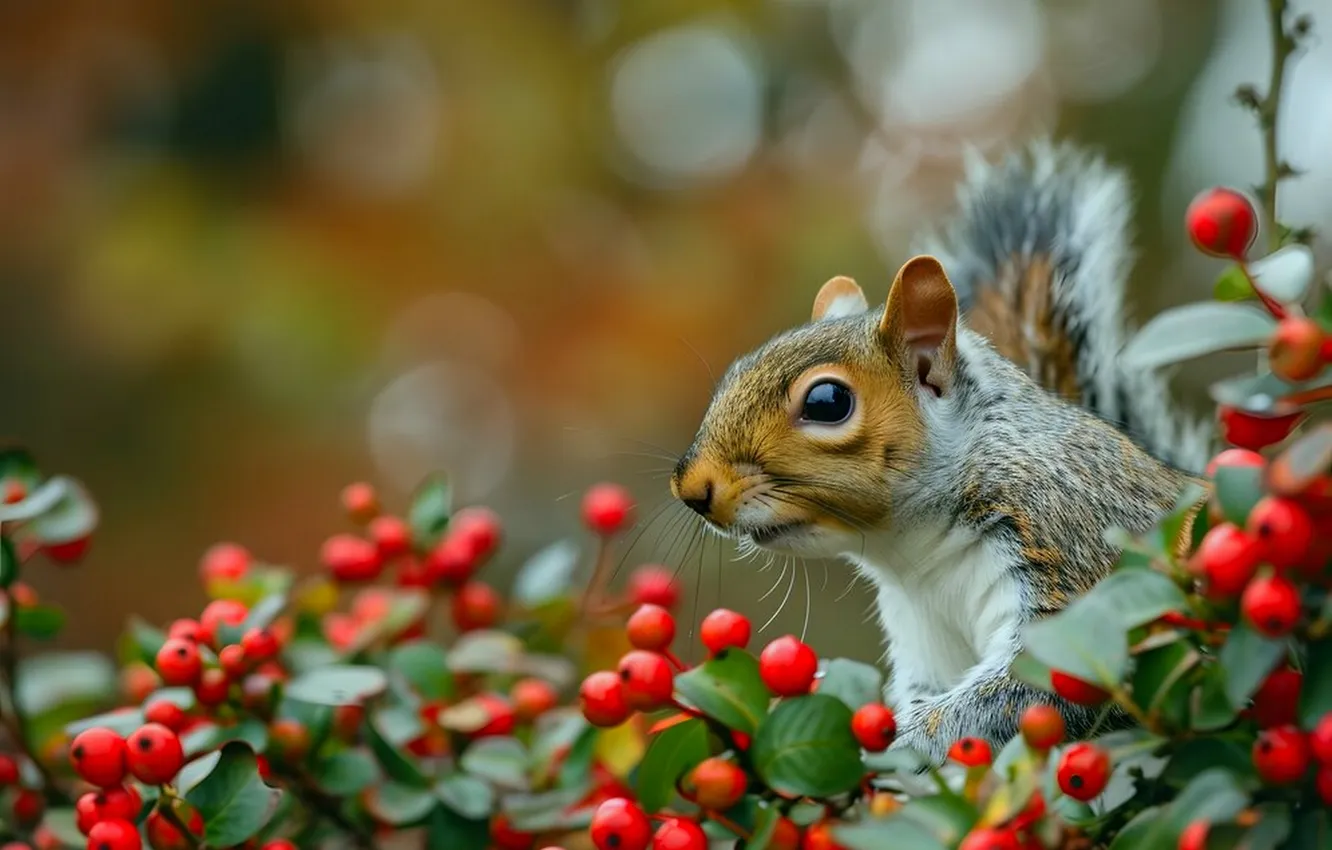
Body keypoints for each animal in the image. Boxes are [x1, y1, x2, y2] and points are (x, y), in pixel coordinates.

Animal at [669, 140, 1214, 764]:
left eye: (828, 402)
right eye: (734, 371)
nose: (691, 488)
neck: (916, 553)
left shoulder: (1074, 549)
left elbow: (1021, 696)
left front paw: (892, 749)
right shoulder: (924, 636)